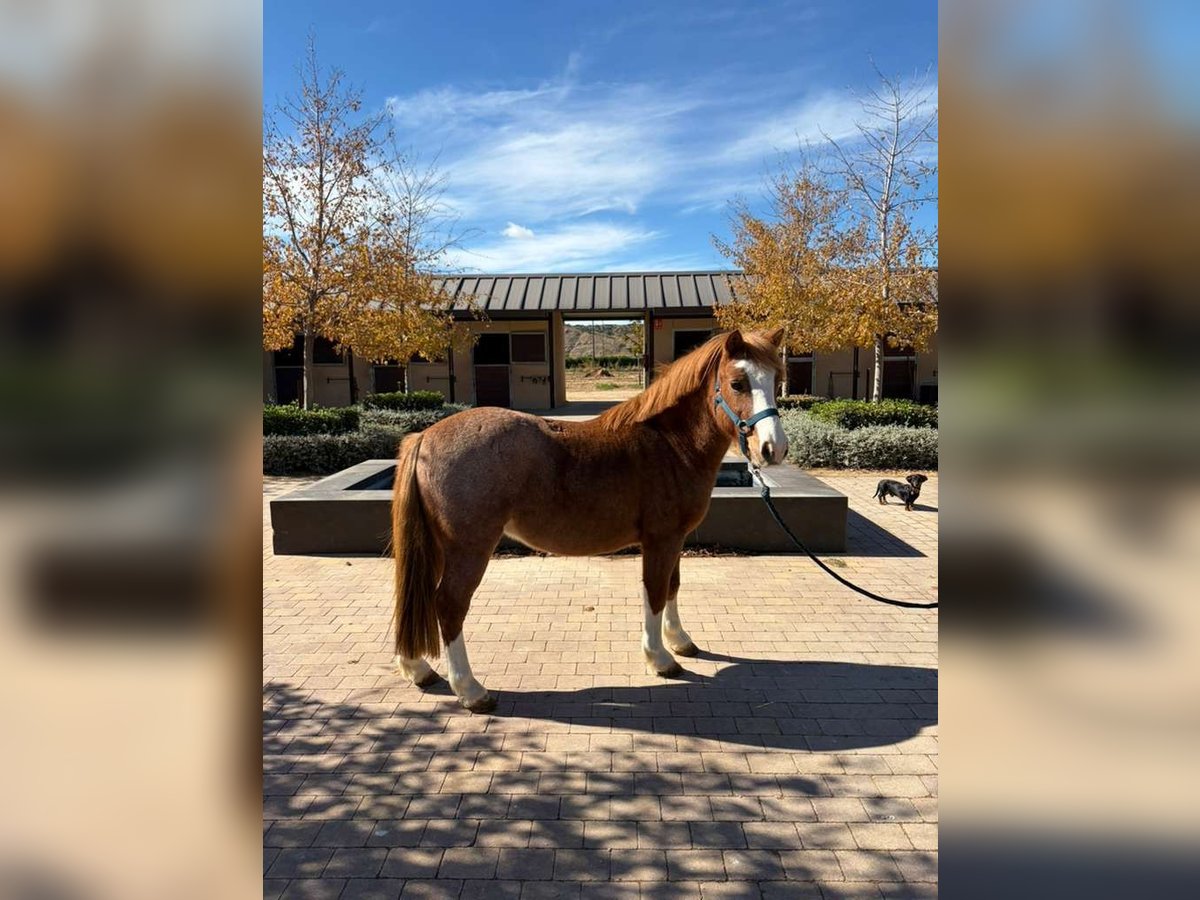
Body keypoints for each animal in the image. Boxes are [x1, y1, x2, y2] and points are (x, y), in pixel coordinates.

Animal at [390, 328, 789, 712]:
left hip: (436, 547)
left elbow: (673, 588)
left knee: (421, 598)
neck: (671, 444)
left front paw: (680, 642)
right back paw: (471, 690)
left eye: (777, 379)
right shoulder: (660, 540)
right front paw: (660, 659)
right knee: (449, 604)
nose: (774, 449)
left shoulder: (674, 540)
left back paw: (418, 669)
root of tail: (424, 437)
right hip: (469, 549)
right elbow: (655, 592)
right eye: (737, 383)